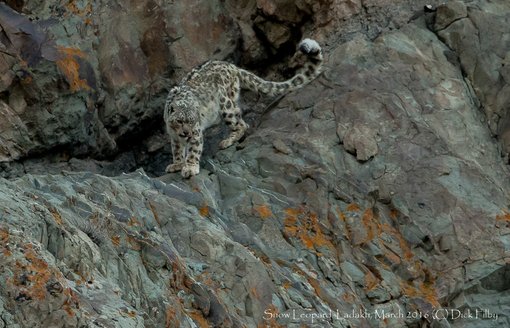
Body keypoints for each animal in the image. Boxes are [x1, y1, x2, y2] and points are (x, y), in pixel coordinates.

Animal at [163, 38, 322, 178]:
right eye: (179, 121)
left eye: (192, 121)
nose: (186, 133)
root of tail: (232, 66)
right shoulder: (173, 136)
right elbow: (177, 150)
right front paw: (177, 164)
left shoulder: (196, 133)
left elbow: (193, 150)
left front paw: (189, 168)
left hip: (226, 105)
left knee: (242, 124)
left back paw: (227, 141)